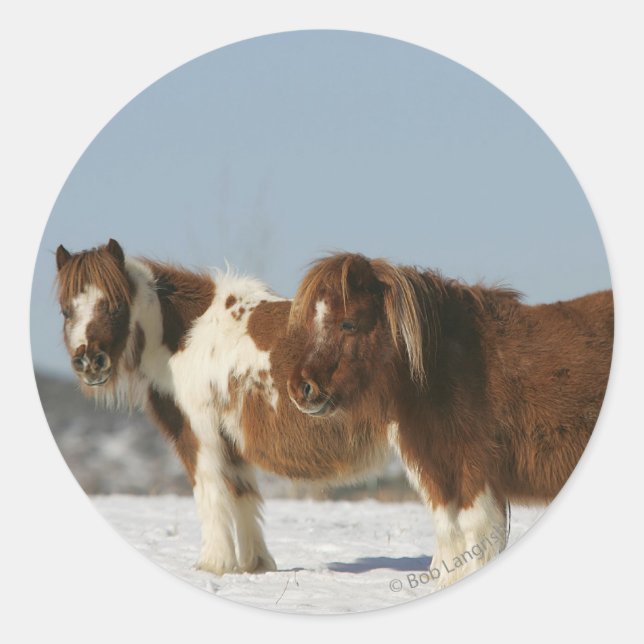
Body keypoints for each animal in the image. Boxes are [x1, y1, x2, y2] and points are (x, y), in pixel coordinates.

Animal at [55, 240, 389, 576]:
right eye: (66, 310)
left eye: (116, 305)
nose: (90, 362)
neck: (188, 336)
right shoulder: (230, 441)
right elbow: (242, 494)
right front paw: (255, 564)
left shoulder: (200, 434)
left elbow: (210, 490)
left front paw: (214, 564)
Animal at [287, 252, 613, 587]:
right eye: (311, 323)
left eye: (348, 323)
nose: (301, 388)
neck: (450, 366)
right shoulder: (439, 474)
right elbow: (449, 537)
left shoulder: (474, 471)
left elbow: (473, 535)